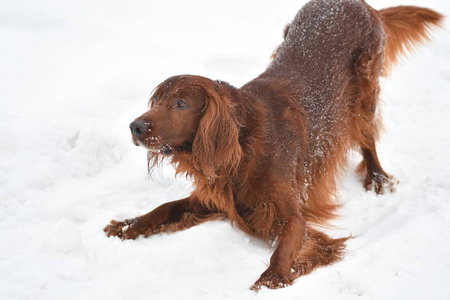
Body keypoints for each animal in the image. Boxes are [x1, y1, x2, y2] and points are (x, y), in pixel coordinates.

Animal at [103, 0, 442, 290]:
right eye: (157, 101)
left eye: (181, 104)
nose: (136, 126)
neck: (243, 146)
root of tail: (362, 5)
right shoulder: (218, 198)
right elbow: (166, 208)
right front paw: (129, 225)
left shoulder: (290, 216)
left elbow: (287, 246)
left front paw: (272, 278)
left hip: (362, 95)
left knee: (368, 138)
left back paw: (377, 178)